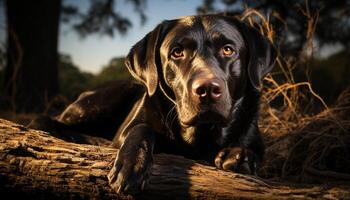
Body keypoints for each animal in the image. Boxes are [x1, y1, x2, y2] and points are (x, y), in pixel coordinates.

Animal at [29, 14, 276, 195]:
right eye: (177, 52)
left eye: (228, 49)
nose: (207, 89)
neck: (200, 135)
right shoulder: (129, 128)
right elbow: (141, 128)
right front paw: (131, 165)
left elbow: (254, 151)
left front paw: (239, 155)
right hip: (99, 103)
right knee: (49, 119)